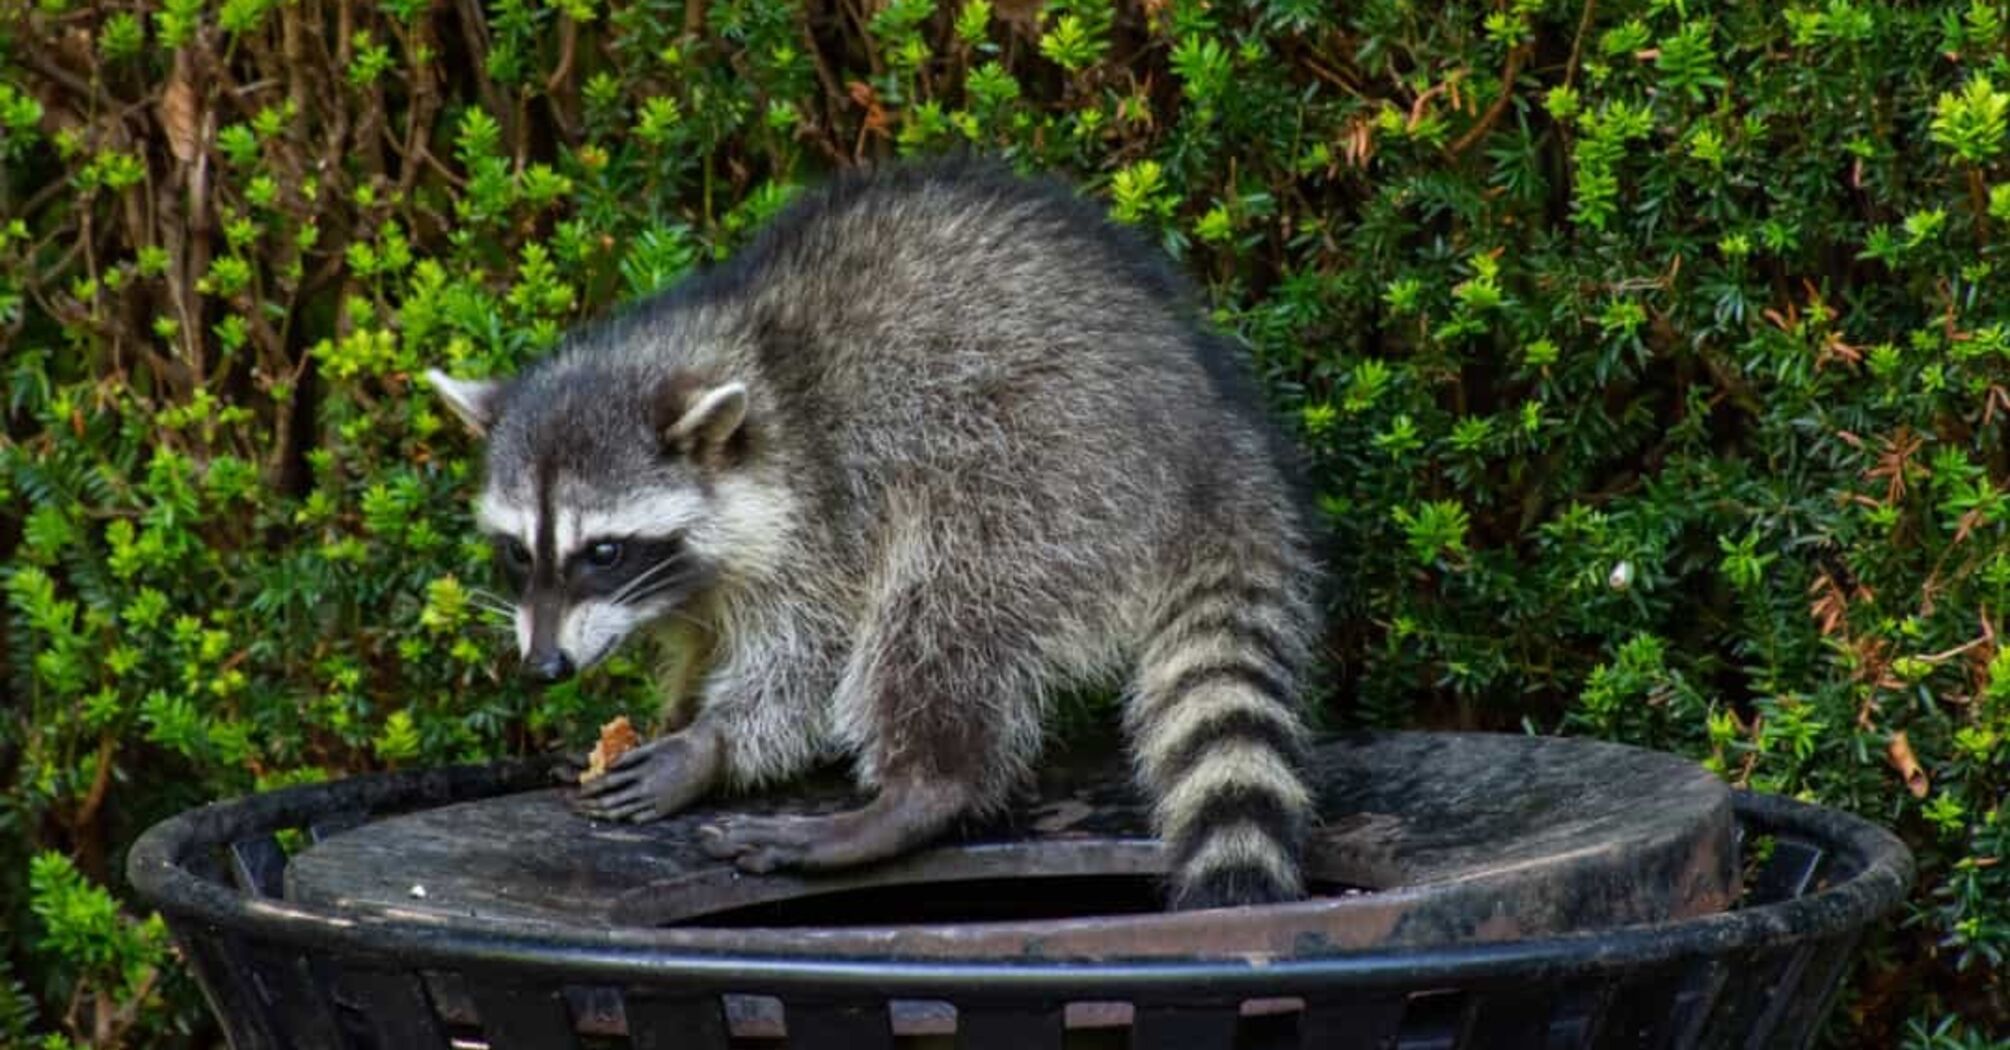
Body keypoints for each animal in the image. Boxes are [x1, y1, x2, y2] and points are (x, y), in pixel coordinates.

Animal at [428, 156, 1318, 905]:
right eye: (518, 553)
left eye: (604, 552)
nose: (544, 667)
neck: (742, 352)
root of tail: (1216, 443)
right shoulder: (695, 586)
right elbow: (700, 644)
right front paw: (674, 712)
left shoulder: (824, 508)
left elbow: (811, 657)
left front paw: (711, 745)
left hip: (1047, 471)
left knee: (939, 605)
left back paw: (919, 790)